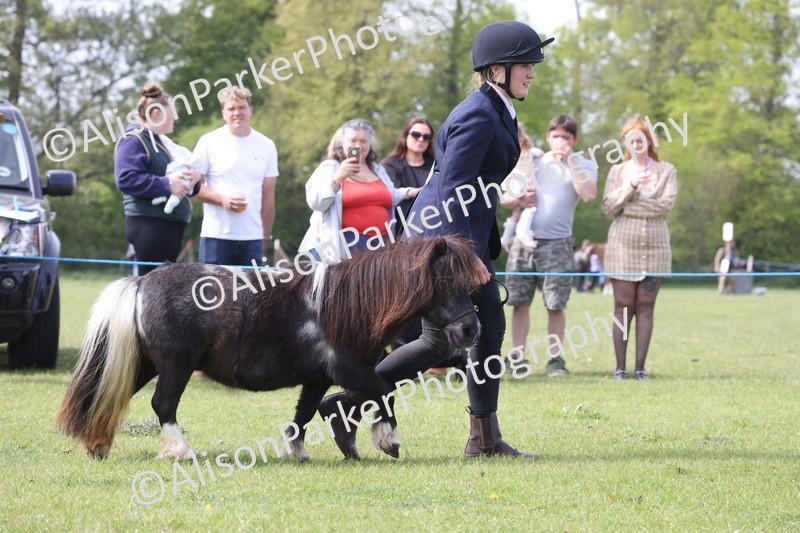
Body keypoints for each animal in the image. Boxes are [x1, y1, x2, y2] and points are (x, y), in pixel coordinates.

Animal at [56, 236, 481, 462]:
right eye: (446, 281)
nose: (470, 330)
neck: (347, 303)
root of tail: (142, 281)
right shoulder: (350, 370)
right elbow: (385, 391)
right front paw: (388, 441)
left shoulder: (318, 378)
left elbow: (305, 413)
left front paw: (299, 452)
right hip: (177, 365)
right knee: (163, 405)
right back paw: (182, 450)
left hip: (147, 363)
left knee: (111, 397)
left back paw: (97, 444)